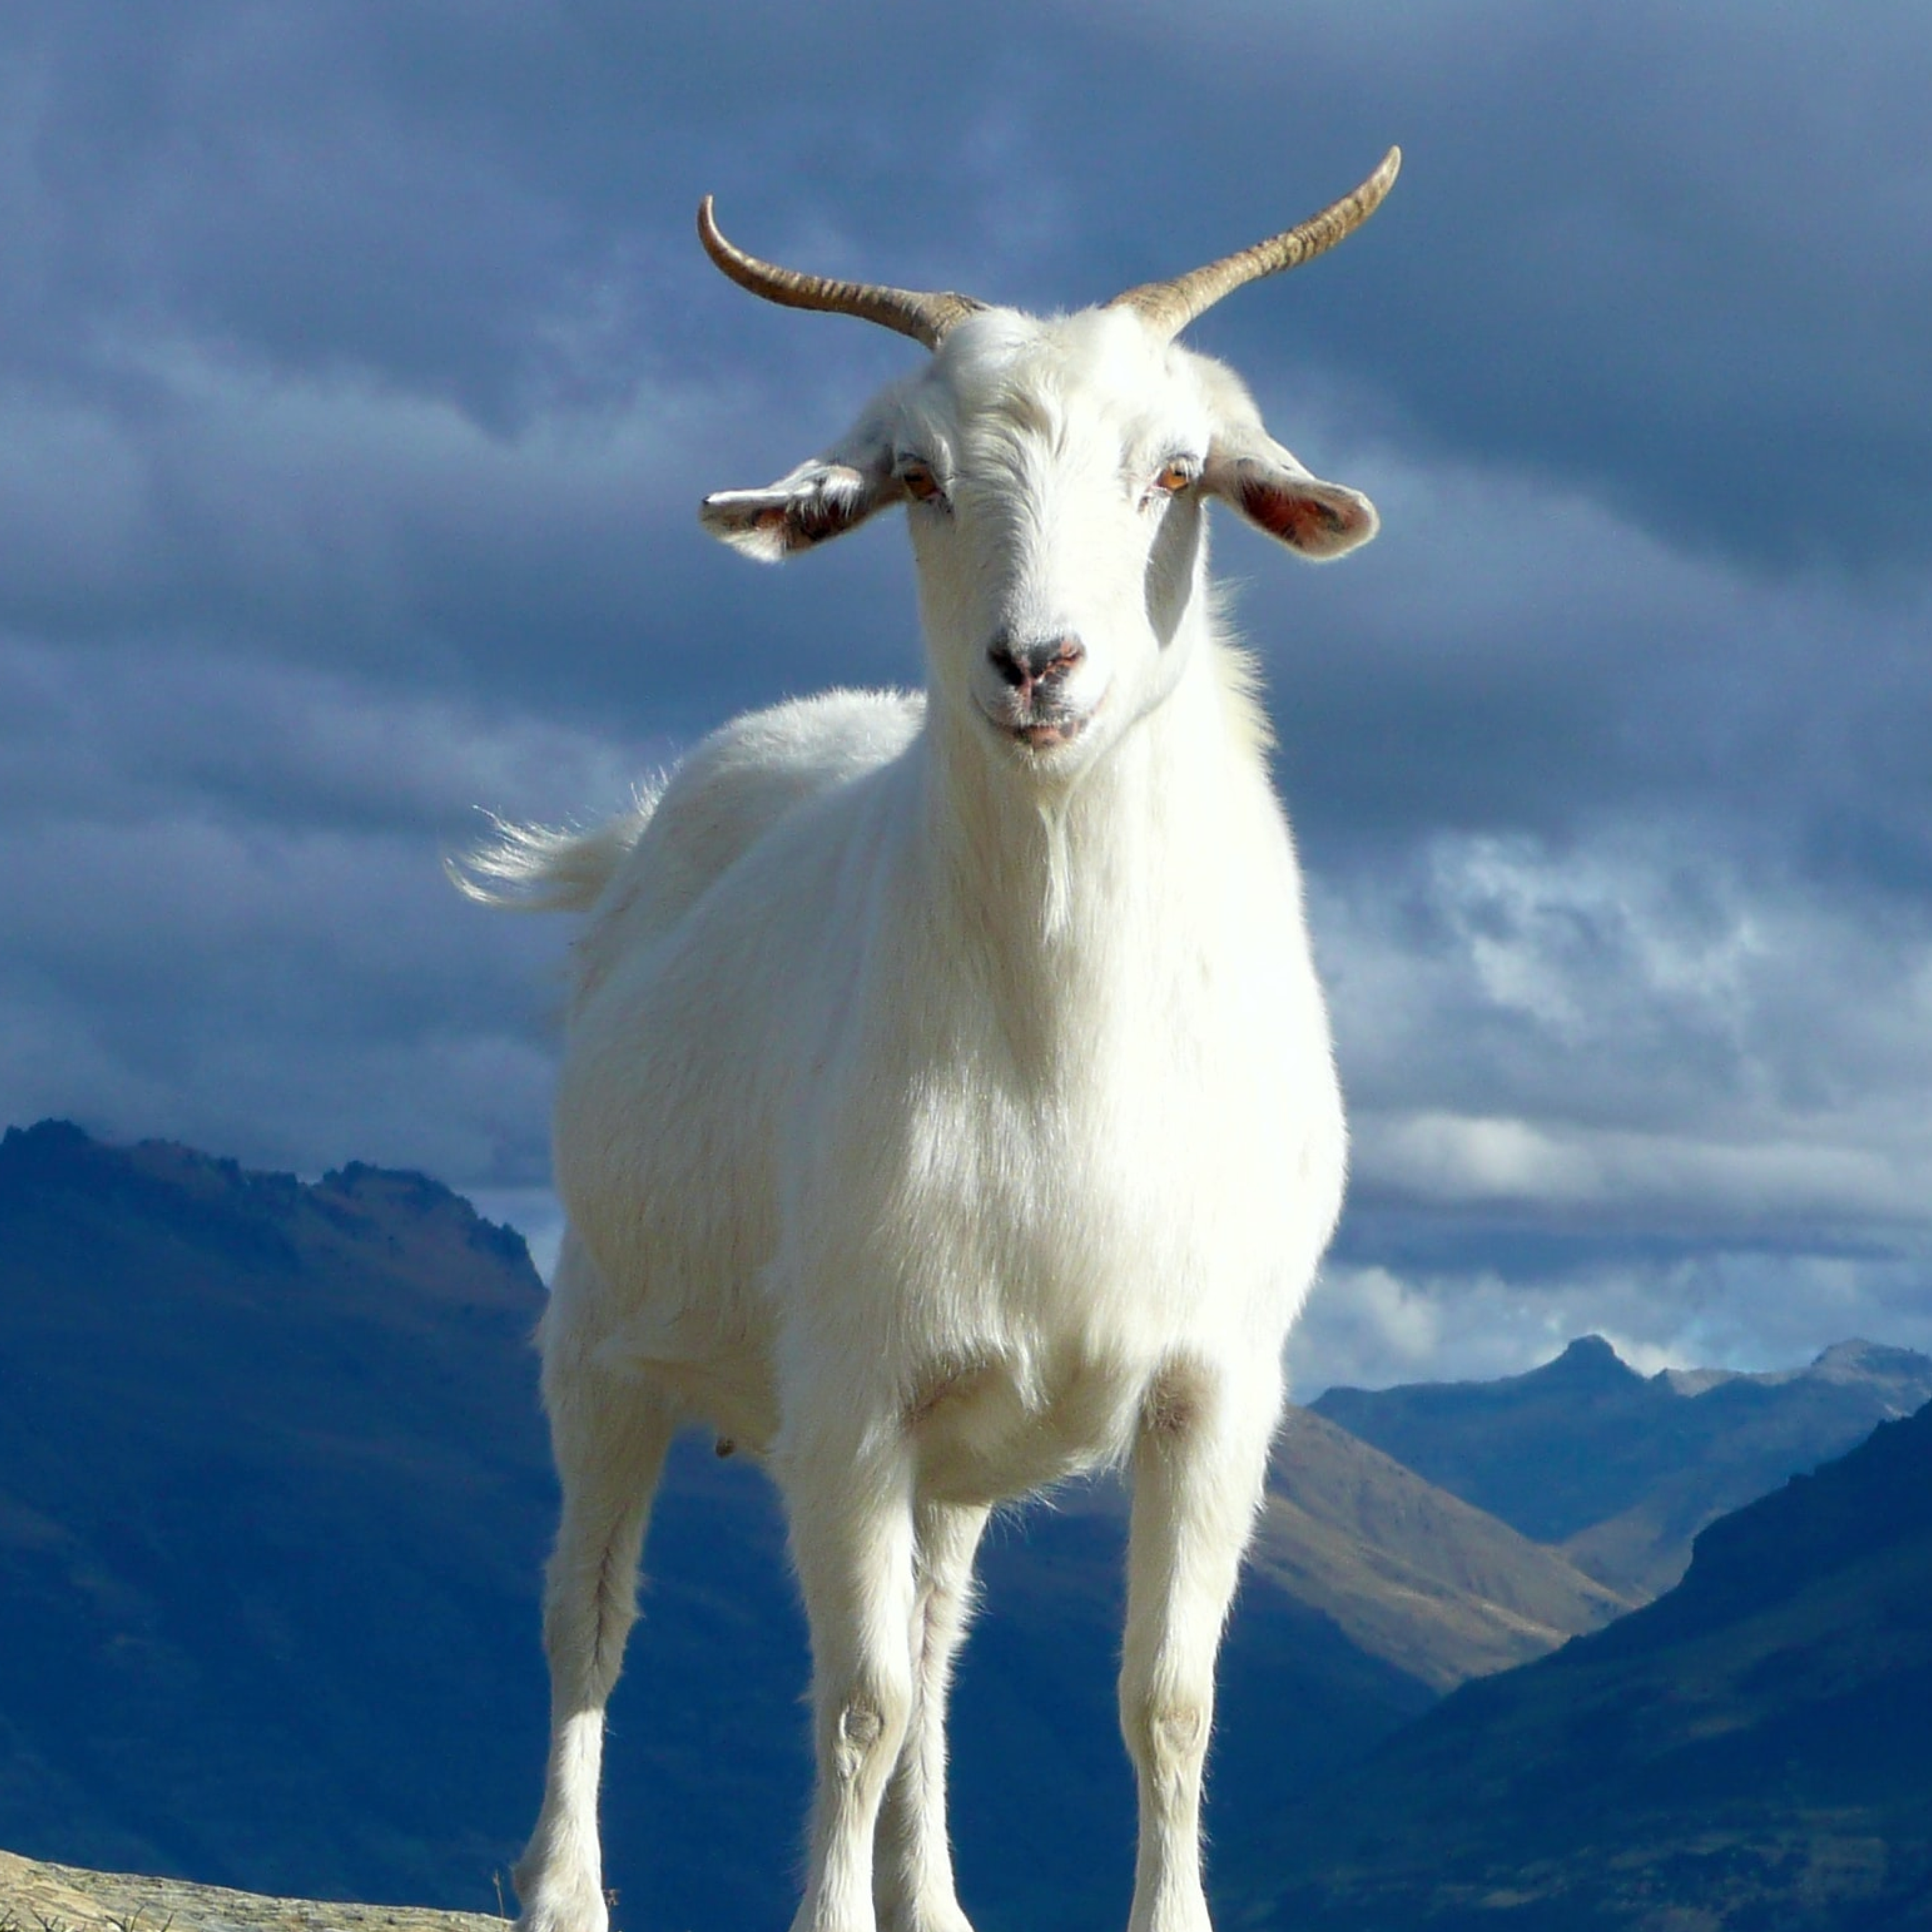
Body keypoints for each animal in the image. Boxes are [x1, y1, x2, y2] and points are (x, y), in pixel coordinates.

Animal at [467, 150, 1406, 1932]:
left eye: (1175, 473)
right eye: (918, 480)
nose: (1037, 664)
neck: (1065, 1045)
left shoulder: (1212, 1387)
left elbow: (1163, 1697)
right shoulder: (851, 1389)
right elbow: (858, 1700)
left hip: (961, 1446)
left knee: (939, 1633)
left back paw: (938, 1900)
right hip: (603, 1336)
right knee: (587, 1609)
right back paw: (561, 1887)